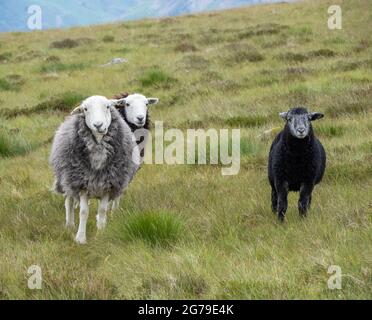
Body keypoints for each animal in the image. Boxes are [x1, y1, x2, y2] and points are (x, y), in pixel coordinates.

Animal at [49, 94, 140, 242]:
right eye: (85, 109)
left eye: (108, 106)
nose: (98, 125)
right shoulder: (82, 185)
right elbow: (83, 212)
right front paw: (80, 238)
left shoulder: (108, 185)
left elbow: (102, 211)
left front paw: (101, 233)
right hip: (67, 180)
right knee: (69, 202)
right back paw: (69, 225)